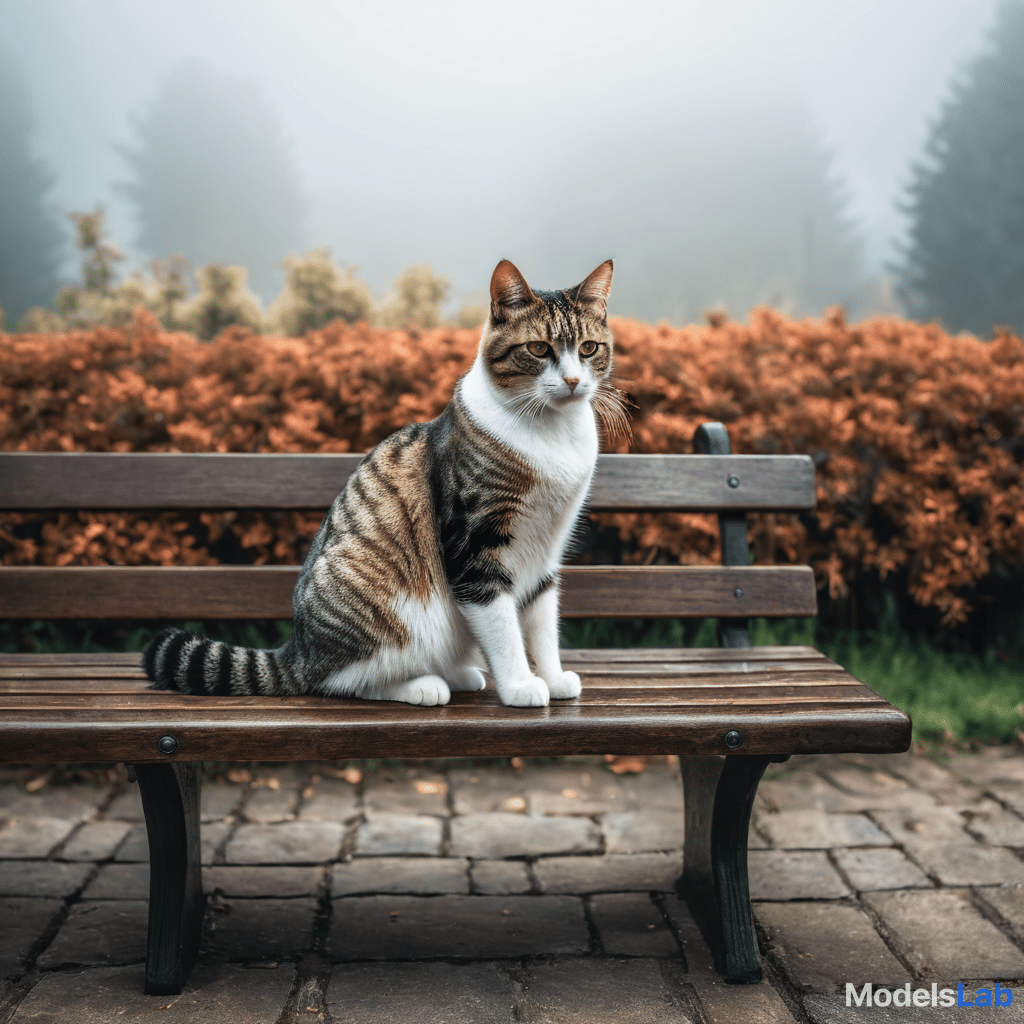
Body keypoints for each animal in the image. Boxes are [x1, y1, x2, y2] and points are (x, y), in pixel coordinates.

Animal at [142, 258, 622, 704]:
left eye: (588, 348)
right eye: (538, 348)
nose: (573, 381)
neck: (552, 434)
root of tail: (297, 651)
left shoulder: (545, 550)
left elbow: (541, 622)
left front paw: (553, 678)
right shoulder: (473, 543)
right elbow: (502, 624)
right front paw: (521, 685)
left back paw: (458, 674)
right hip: (382, 609)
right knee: (340, 681)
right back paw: (422, 685)